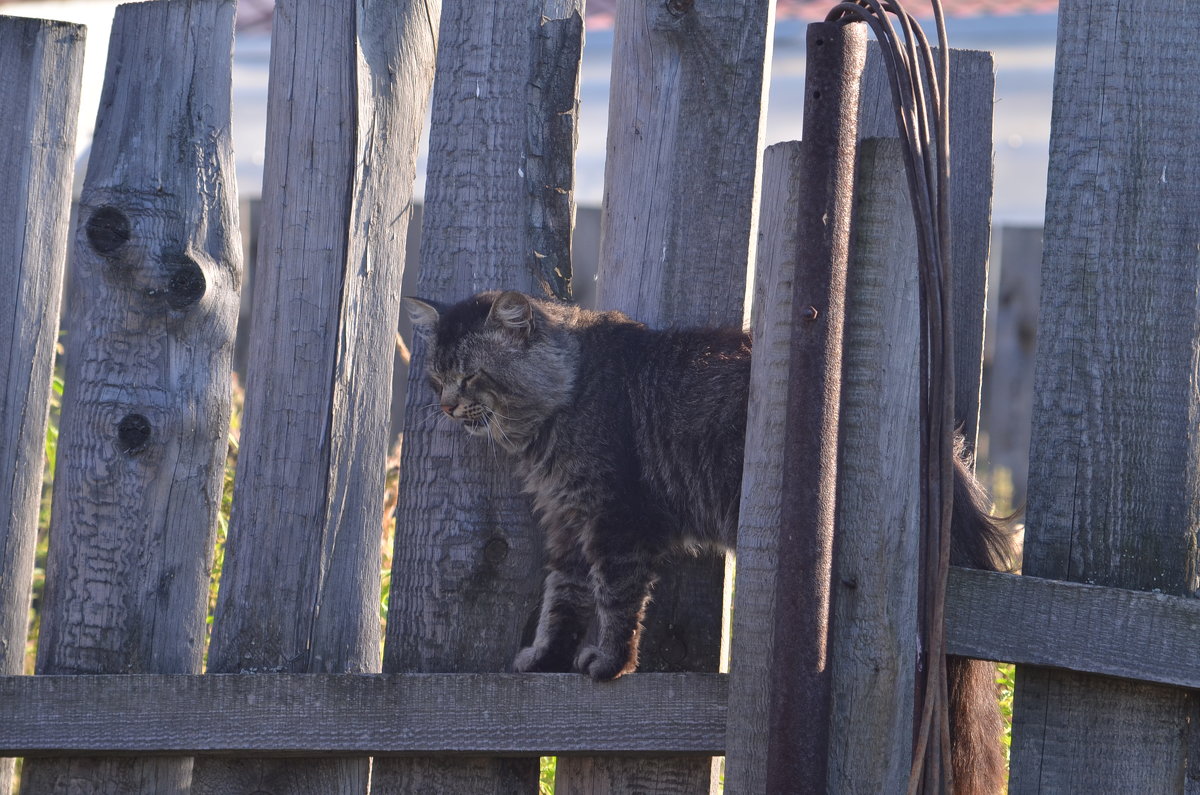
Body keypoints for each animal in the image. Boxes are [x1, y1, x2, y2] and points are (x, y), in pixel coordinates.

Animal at [403, 289, 1012, 792]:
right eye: (437, 378)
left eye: (472, 377)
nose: (447, 407)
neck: (566, 395)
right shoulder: (568, 527)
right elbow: (562, 602)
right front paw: (545, 658)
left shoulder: (615, 522)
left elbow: (616, 603)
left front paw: (608, 665)